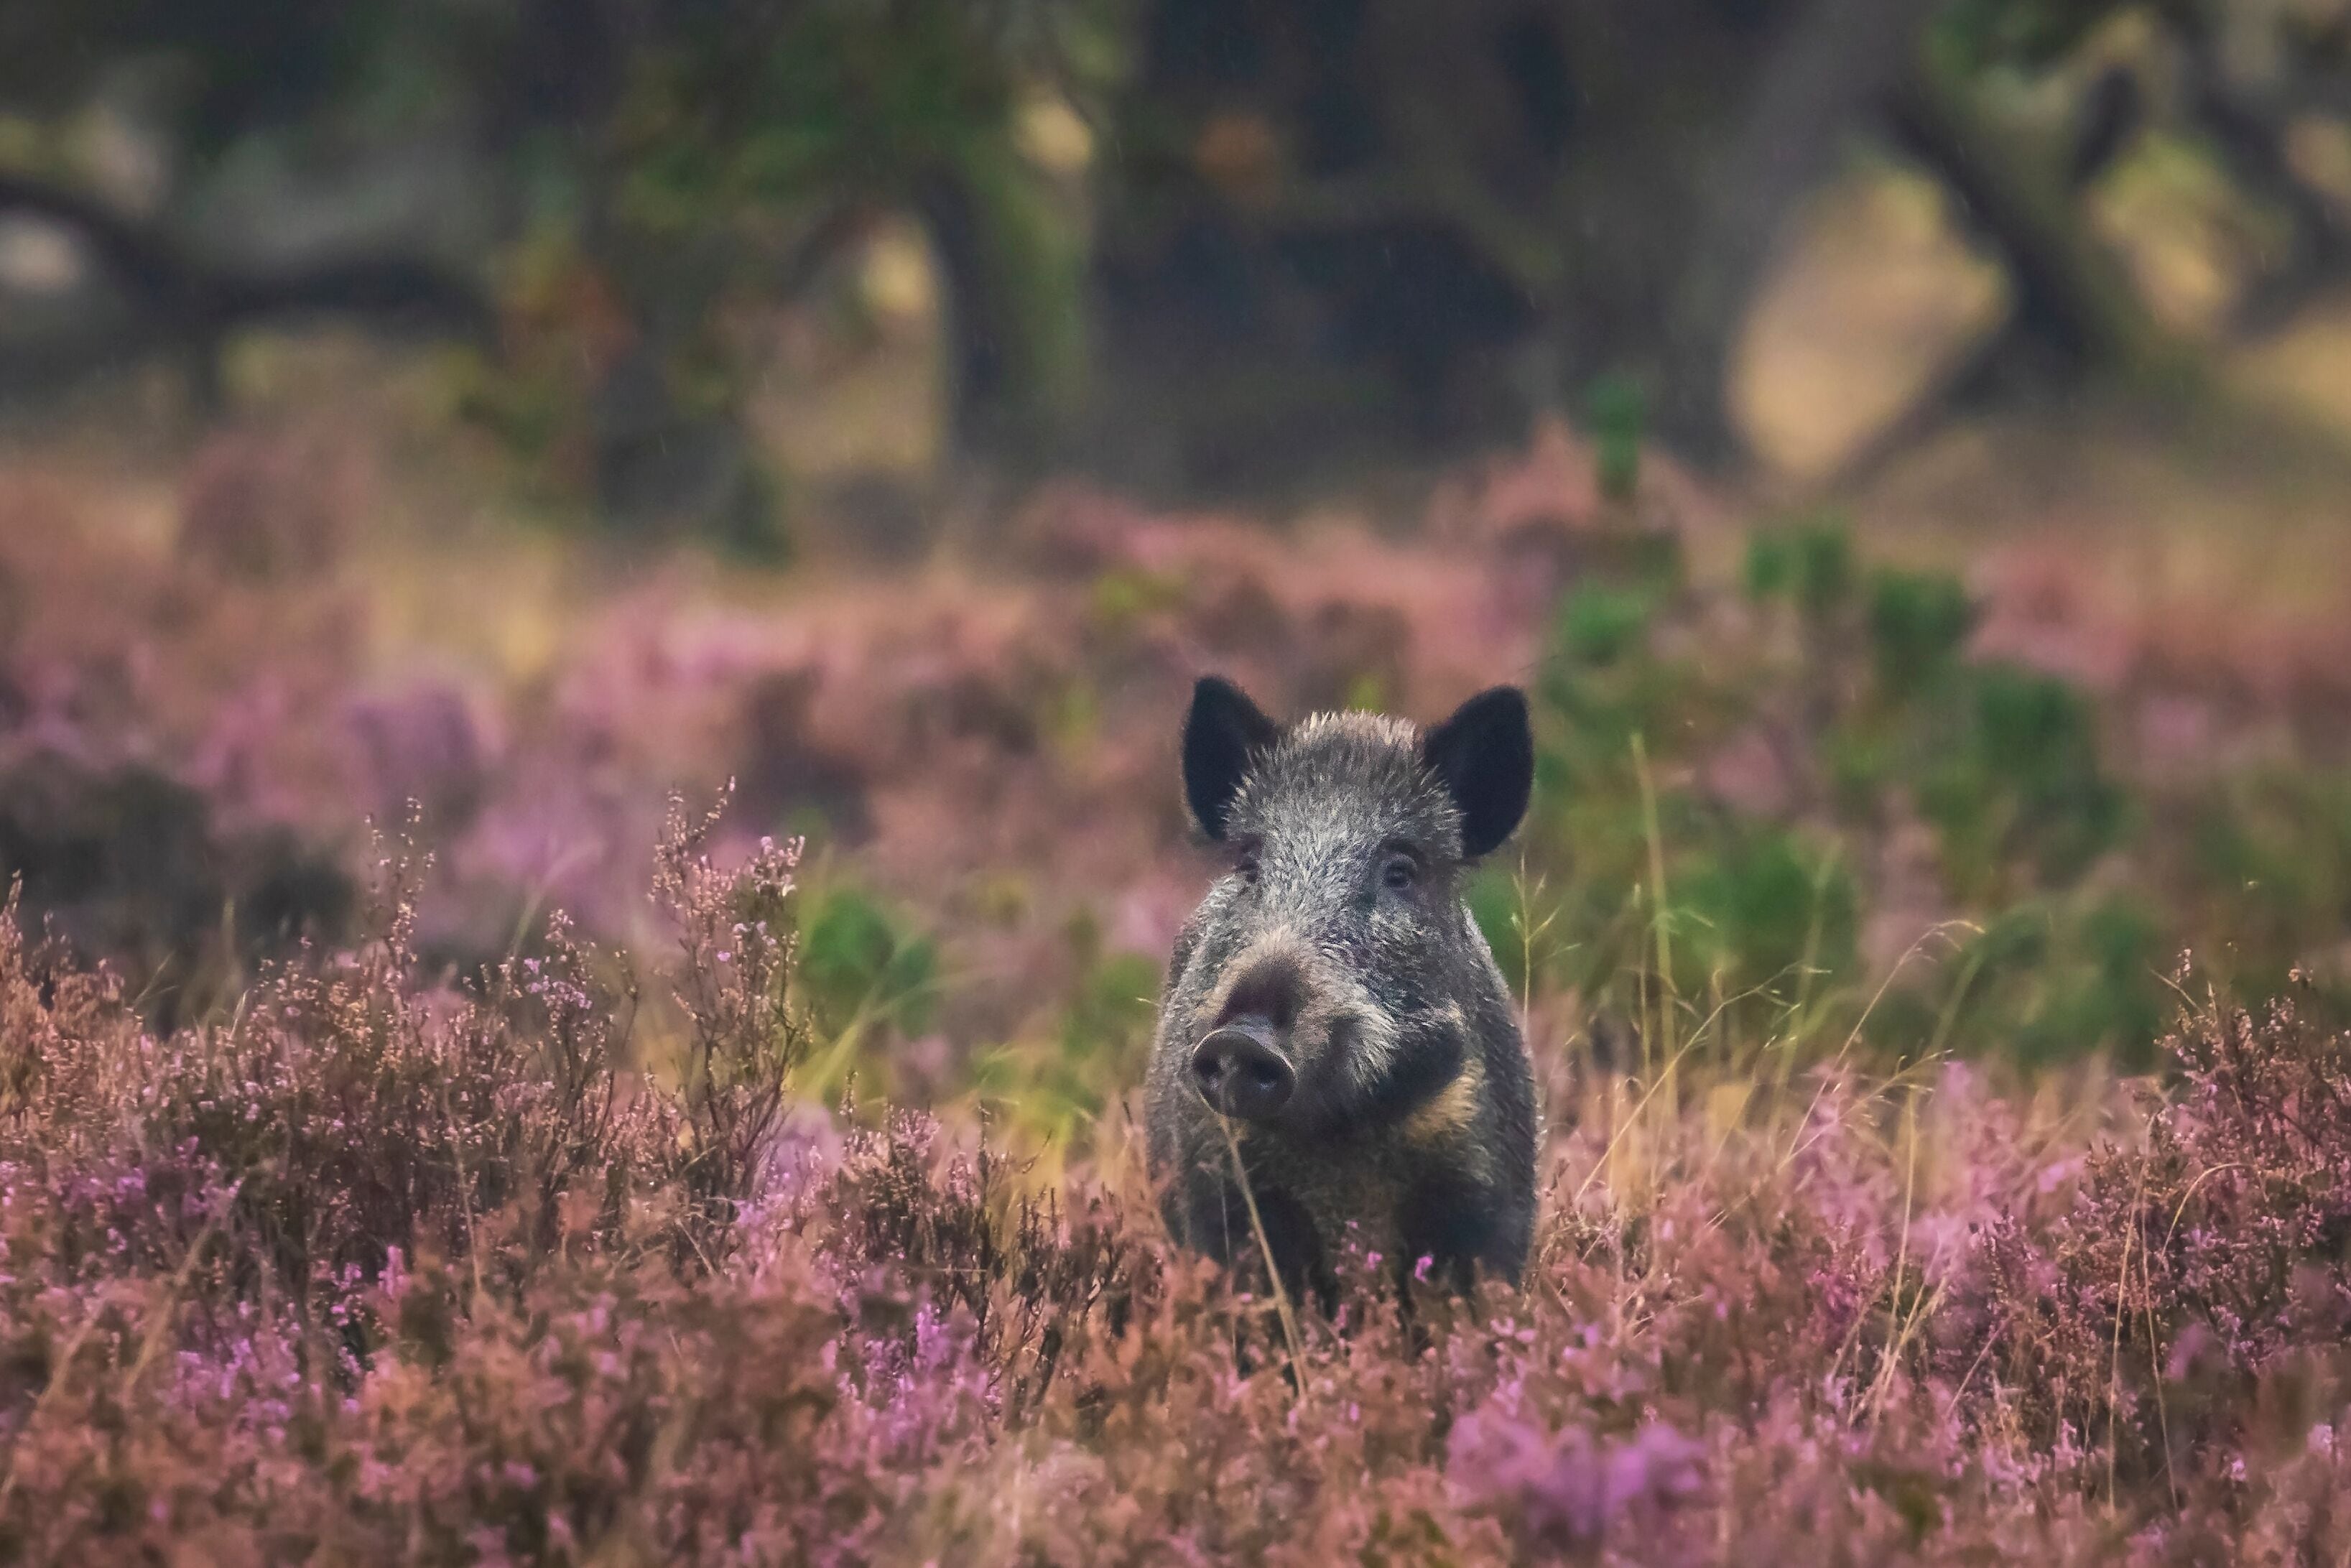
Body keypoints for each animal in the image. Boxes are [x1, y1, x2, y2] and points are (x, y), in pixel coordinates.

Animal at [1145, 676, 1540, 1303]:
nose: (1241, 1038)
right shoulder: (1219, 1185)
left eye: (1400, 871)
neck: (1340, 1129)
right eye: (1250, 863)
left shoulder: (1483, 1187)